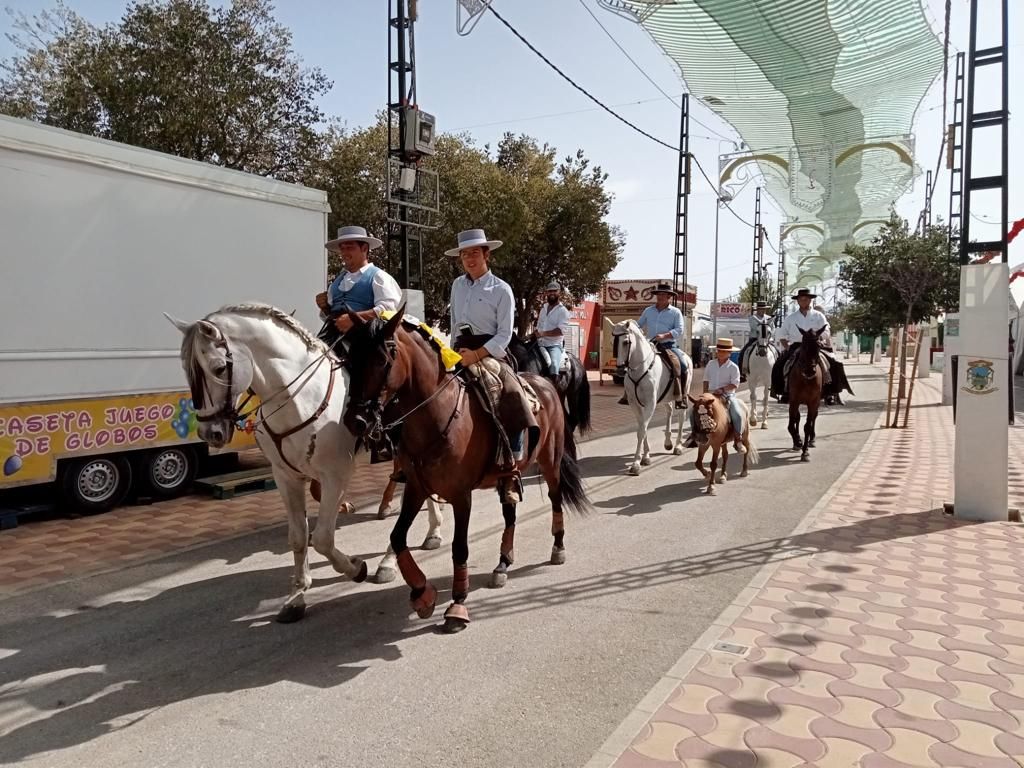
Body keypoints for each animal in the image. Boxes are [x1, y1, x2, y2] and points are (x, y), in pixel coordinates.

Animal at [344, 309, 589, 634]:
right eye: (351, 358)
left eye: (383, 359)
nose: (356, 420)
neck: (437, 414)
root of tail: (547, 384)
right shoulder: (416, 488)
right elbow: (397, 537)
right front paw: (422, 594)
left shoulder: (461, 496)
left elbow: (459, 547)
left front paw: (457, 606)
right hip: (506, 475)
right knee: (510, 514)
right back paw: (502, 564)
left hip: (550, 461)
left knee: (556, 498)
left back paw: (557, 548)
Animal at [606, 319, 696, 475]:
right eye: (613, 342)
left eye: (626, 342)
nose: (620, 370)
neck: (641, 368)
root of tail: (686, 357)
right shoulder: (635, 404)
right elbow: (643, 428)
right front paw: (646, 457)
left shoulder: (650, 404)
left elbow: (642, 430)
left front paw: (636, 464)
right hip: (666, 397)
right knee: (669, 411)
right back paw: (668, 443)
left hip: (682, 395)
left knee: (681, 416)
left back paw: (677, 446)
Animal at [786, 325, 827, 462]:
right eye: (803, 346)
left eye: (819, 346)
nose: (810, 371)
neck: (806, 379)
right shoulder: (794, 401)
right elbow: (791, 425)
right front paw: (798, 441)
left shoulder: (813, 402)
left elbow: (808, 426)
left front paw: (805, 452)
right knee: (797, 419)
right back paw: (797, 442)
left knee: (813, 418)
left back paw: (811, 440)